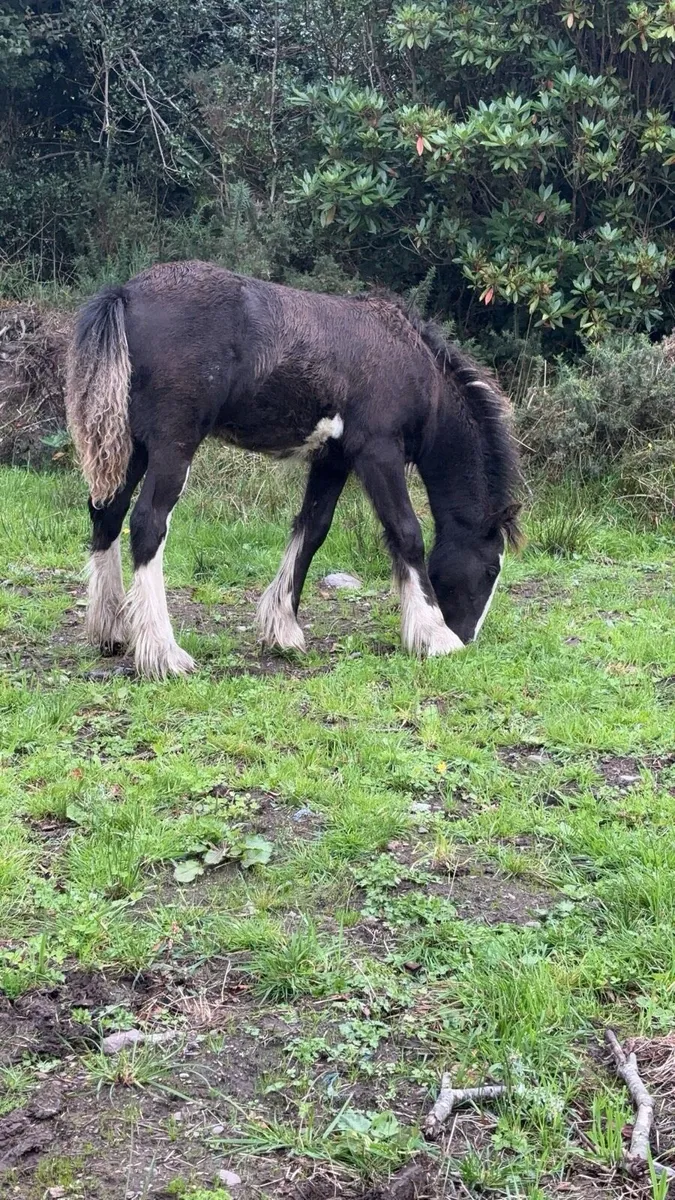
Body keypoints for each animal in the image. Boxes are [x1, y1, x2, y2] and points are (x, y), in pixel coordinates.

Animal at [65, 260, 522, 678]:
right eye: (491, 568)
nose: (467, 635)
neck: (413, 366)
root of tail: (126, 293)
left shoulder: (333, 459)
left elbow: (312, 530)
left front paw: (282, 629)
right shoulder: (378, 451)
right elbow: (406, 533)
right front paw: (435, 636)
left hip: (134, 445)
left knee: (107, 513)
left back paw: (111, 631)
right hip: (172, 444)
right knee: (148, 524)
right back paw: (164, 653)